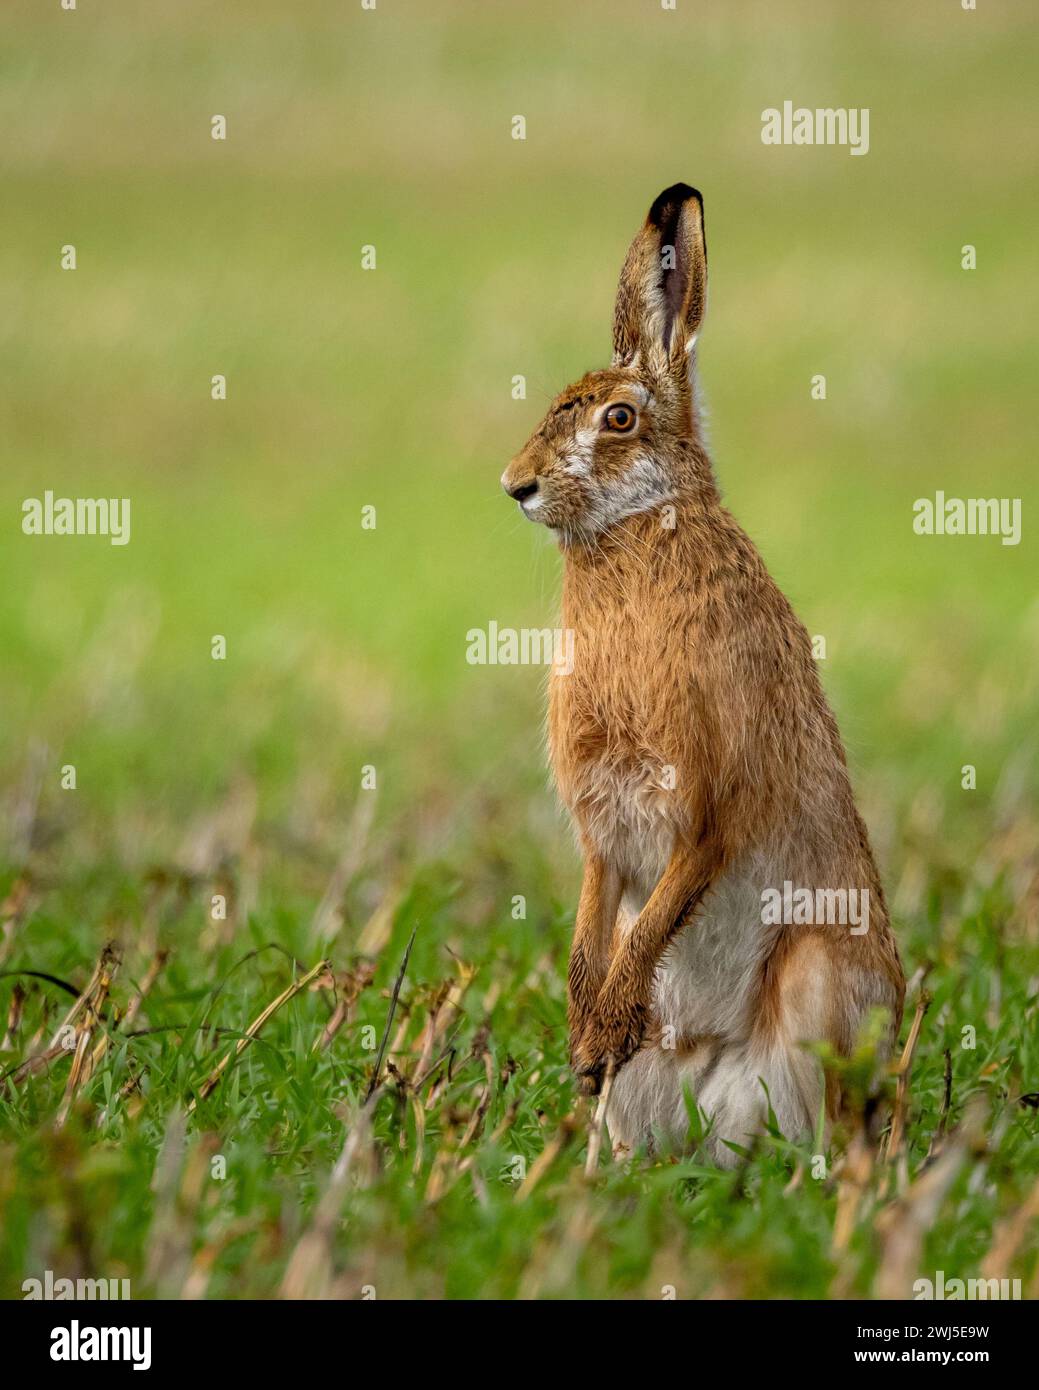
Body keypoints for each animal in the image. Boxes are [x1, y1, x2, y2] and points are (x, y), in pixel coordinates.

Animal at [501, 184, 905, 1165]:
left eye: (617, 419)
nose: (515, 485)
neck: (634, 536)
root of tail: (721, 1101)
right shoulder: (601, 827)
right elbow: (596, 919)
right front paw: (587, 1036)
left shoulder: (708, 799)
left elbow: (658, 908)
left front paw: (600, 1029)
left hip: (816, 977)